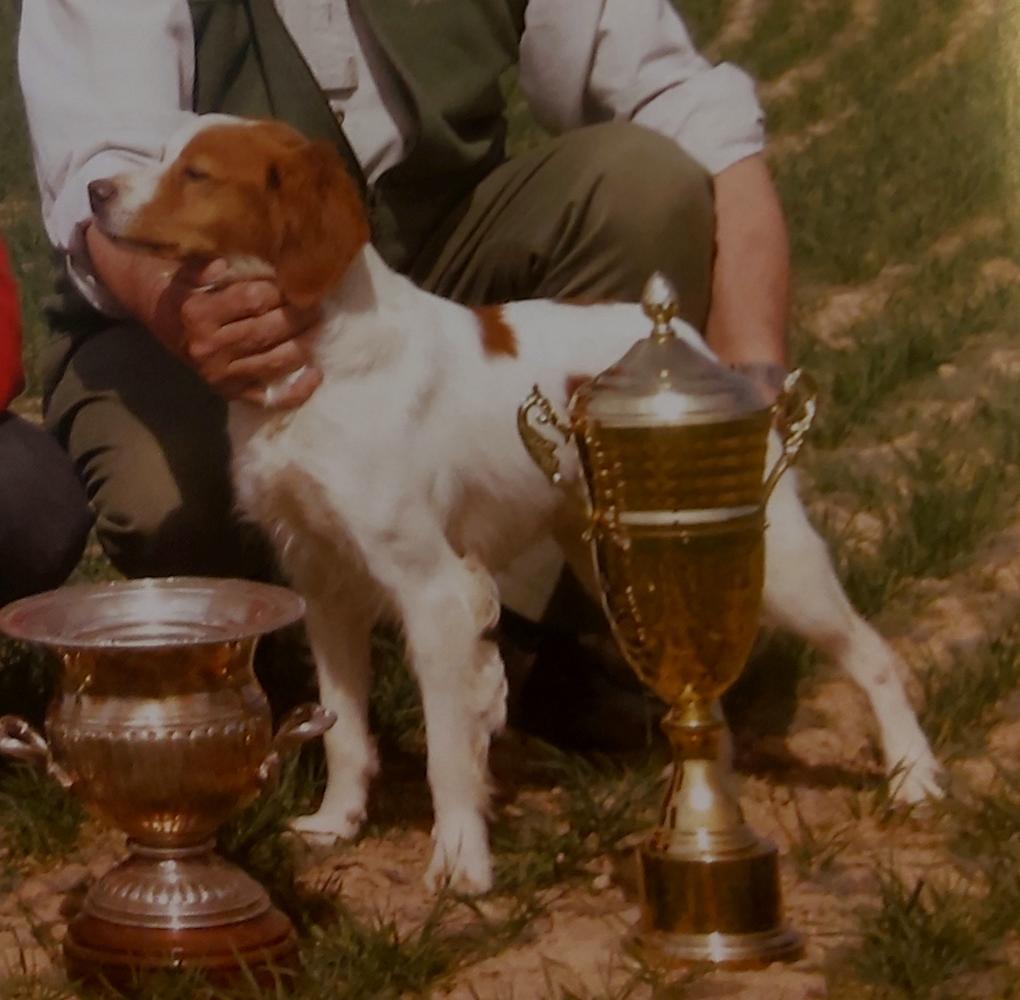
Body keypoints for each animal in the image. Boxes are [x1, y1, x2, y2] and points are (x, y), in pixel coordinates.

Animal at [87, 120, 938, 893]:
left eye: (195, 173)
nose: (94, 191)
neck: (323, 362)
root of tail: (689, 345)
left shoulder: (431, 588)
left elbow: (448, 749)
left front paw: (461, 862)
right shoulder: (324, 584)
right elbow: (343, 729)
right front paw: (336, 823)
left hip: (770, 563)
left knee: (871, 655)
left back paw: (913, 776)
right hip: (611, 558)